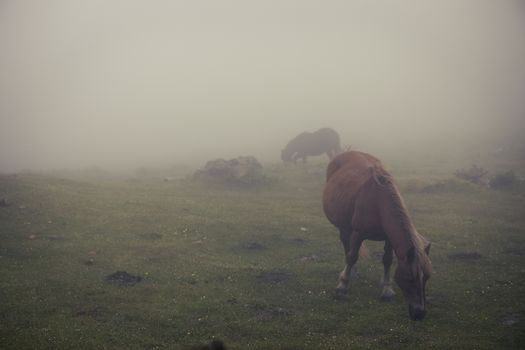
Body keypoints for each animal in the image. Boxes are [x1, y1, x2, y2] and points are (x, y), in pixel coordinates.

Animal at [324, 150, 430, 320]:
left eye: (426, 277)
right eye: (410, 278)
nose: (419, 313)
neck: (378, 204)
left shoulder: (389, 239)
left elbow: (387, 260)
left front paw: (387, 290)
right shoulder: (358, 233)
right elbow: (352, 257)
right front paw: (342, 286)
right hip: (344, 227)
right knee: (346, 247)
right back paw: (349, 273)